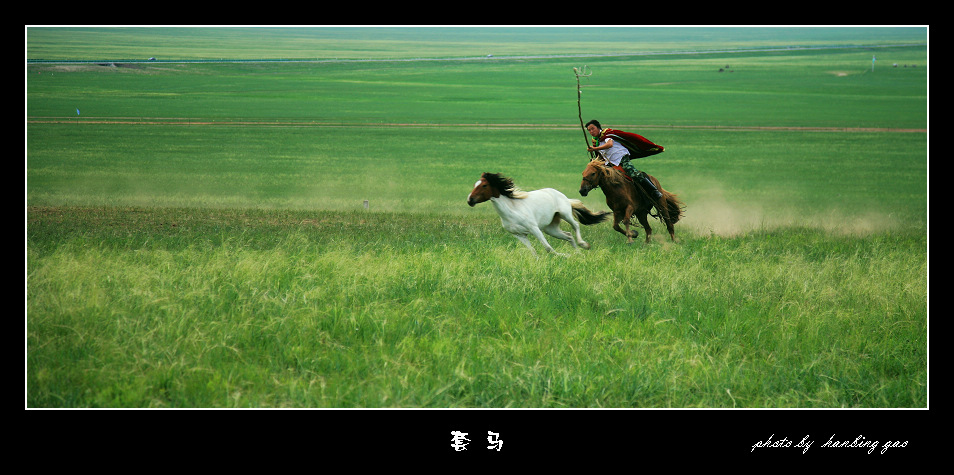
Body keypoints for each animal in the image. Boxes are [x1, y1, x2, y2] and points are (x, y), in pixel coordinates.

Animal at [464, 173, 608, 256]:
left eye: (484, 185)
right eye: (475, 184)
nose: (470, 200)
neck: (512, 211)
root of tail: (562, 195)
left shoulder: (534, 229)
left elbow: (548, 248)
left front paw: (564, 256)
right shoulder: (519, 235)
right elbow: (532, 251)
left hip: (565, 214)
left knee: (575, 226)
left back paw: (584, 245)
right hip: (550, 229)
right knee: (568, 235)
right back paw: (579, 254)